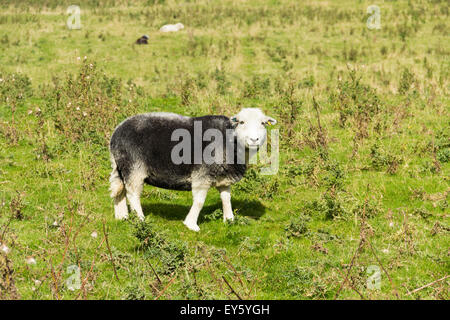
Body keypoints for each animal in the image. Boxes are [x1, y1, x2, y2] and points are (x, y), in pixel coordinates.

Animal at [110, 109, 278, 231]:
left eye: (263, 123)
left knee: (119, 191)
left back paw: (122, 217)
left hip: (119, 167)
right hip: (134, 167)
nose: (254, 140)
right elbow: (199, 201)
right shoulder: (202, 175)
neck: (231, 143)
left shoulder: (224, 177)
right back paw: (140, 220)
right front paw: (191, 224)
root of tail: (116, 132)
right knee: (132, 194)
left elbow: (226, 198)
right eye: (242, 122)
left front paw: (229, 219)